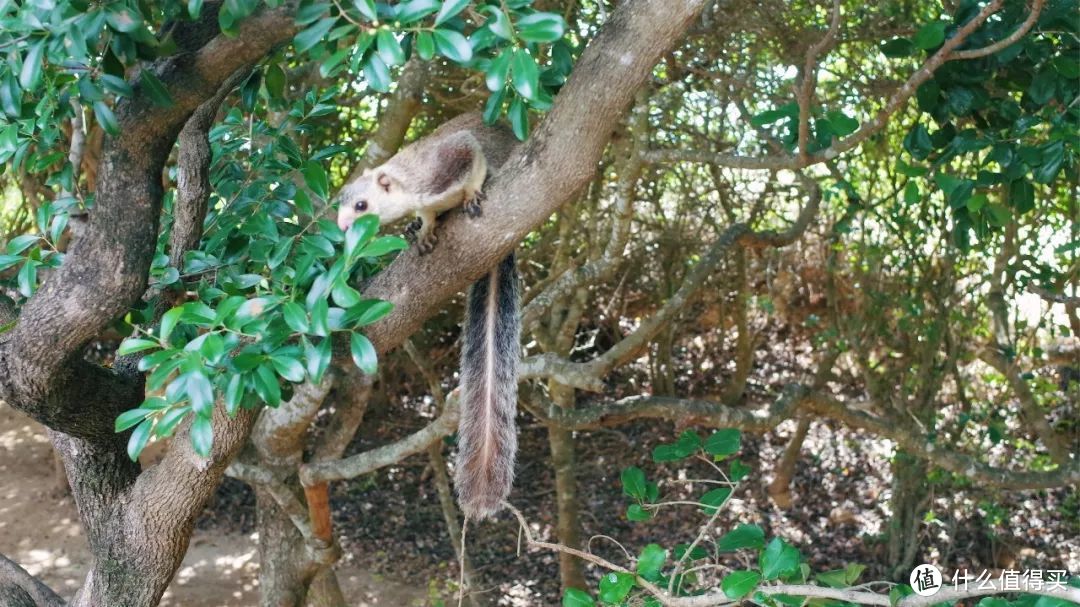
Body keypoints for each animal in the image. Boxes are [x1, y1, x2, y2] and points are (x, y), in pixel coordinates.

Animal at [336, 114, 522, 520]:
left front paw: (471, 195)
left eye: (361, 204)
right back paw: (413, 230)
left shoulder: (449, 162)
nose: (341, 228)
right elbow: (427, 216)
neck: (406, 186)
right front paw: (424, 229)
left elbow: (473, 158)